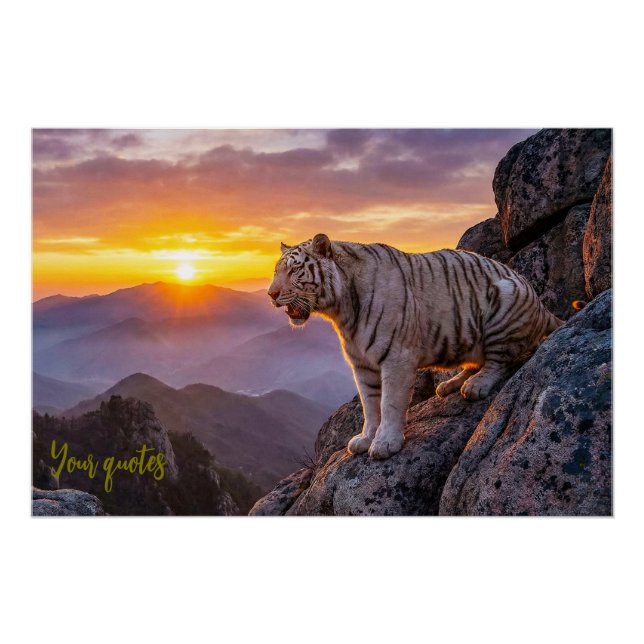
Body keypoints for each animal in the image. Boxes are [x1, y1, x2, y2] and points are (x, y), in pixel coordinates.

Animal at [268, 233, 563, 460]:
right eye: (276, 271)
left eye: (294, 270)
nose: (271, 294)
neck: (342, 311)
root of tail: (540, 305)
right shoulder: (362, 364)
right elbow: (369, 404)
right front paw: (365, 438)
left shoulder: (396, 357)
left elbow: (389, 402)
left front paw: (385, 443)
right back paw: (450, 385)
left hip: (504, 301)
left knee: (501, 361)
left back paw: (476, 386)